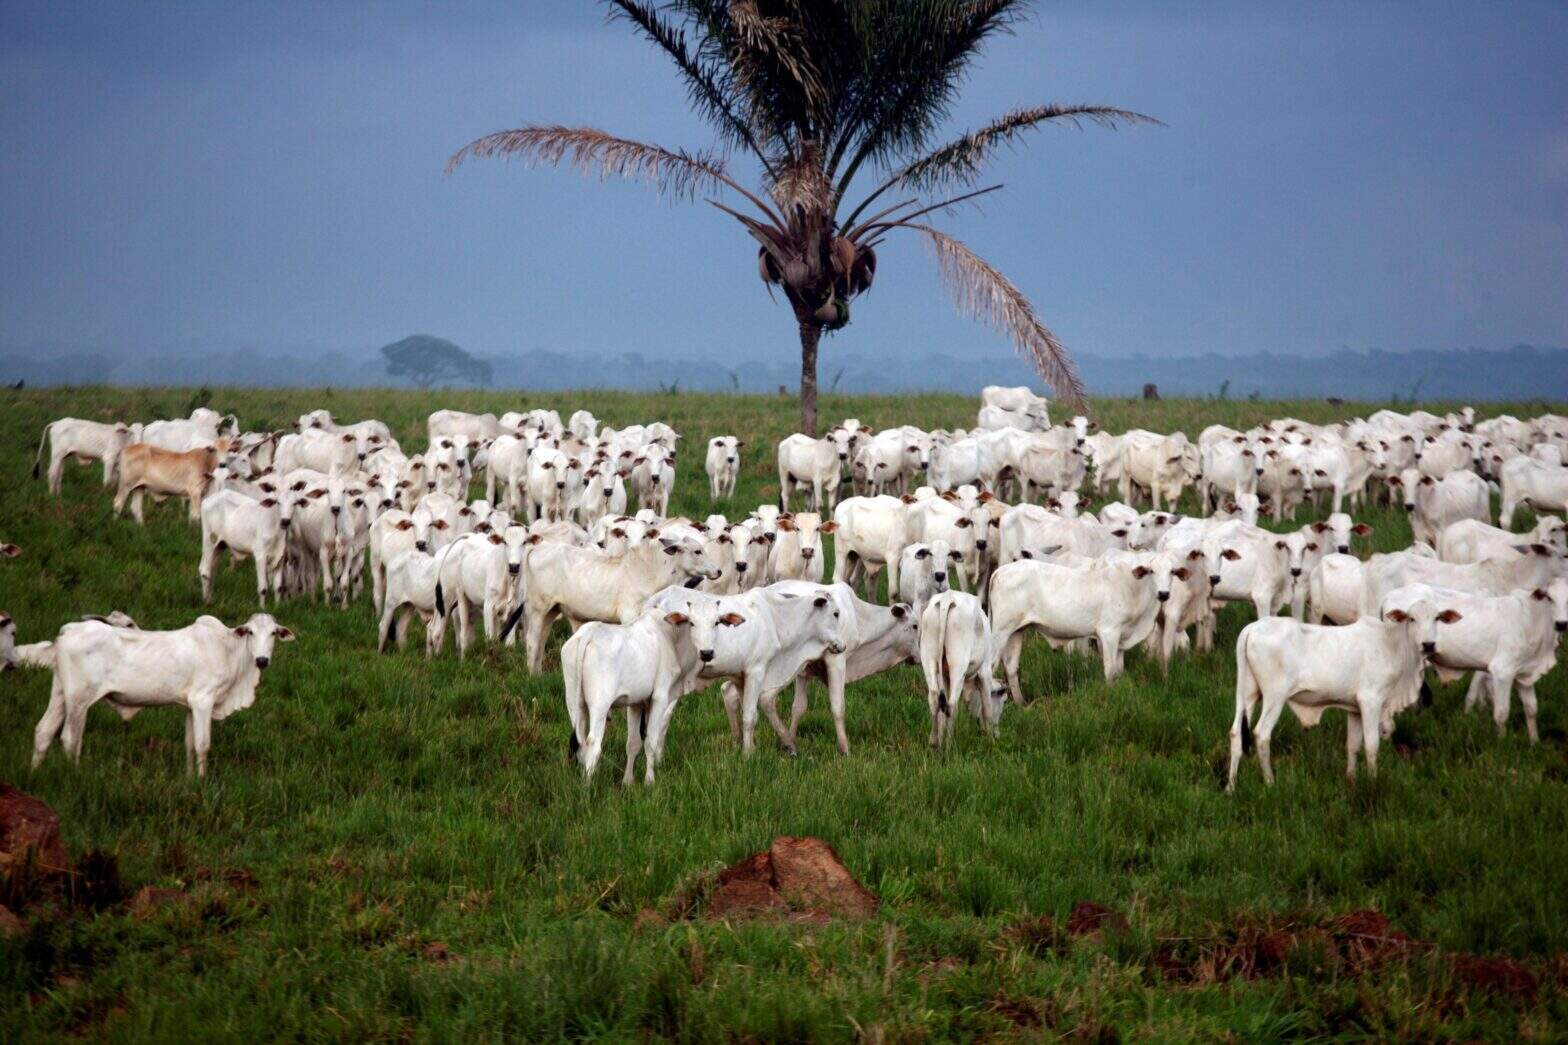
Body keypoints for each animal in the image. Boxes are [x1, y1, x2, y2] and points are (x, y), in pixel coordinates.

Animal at [32, 611, 296, 771]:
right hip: (79, 699)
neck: (228, 650)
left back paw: (35, 773)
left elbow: (190, 745)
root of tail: (70, 629)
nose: (262, 660)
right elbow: (203, 745)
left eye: (274, 632)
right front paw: (202, 782)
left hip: (60, 693)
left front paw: (191, 782)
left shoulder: (190, 706)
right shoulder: (203, 700)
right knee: (70, 739)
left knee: (44, 731)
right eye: (250, 631)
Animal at [915, 589, 1003, 743]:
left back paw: (934, 742)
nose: (998, 735)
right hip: (958, 666)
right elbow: (987, 709)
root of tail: (947, 598)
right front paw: (990, 741)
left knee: (935, 699)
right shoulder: (985, 671)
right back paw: (949, 744)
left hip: (928, 659)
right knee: (951, 705)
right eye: (1003, 703)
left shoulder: (945, 675)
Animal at [990, 552, 1166, 699]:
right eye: (1151, 571)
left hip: (1016, 631)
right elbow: (1110, 671)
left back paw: (1021, 704)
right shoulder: (1109, 633)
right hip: (1000, 632)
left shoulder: (1122, 639)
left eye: (1171, 571)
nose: (1164, 593)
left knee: (1011, 667)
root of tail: (1001, 571)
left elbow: (1119, 671)